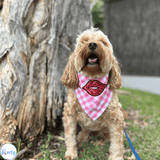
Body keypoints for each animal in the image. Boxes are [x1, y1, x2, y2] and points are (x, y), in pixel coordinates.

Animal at [60, 28, 127, 159]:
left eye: (103, 42)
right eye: (84, 41)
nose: (92, 44)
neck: (92, 80)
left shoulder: (116, 117)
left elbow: (117, 142)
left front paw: (116, 157)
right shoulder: (69, 114)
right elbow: (70, 136)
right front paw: (71, 153)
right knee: (85, 130)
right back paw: (82, 136)